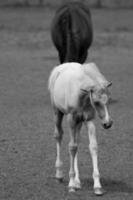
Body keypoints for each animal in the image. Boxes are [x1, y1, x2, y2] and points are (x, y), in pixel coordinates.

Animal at [47, 62, 112, 195]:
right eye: (96, 102)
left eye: (108, 100)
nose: (108, 123)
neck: (82, 95)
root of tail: (59, 67)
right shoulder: (71, 119)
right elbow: (72, 147)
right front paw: (71, 185)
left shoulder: (89, 120)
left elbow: (93, 147)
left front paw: (97, 186)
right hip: (58, 113)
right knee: (59, 136)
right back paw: (59, 175)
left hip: (79, 123)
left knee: (77, 141)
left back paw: (77, 181)